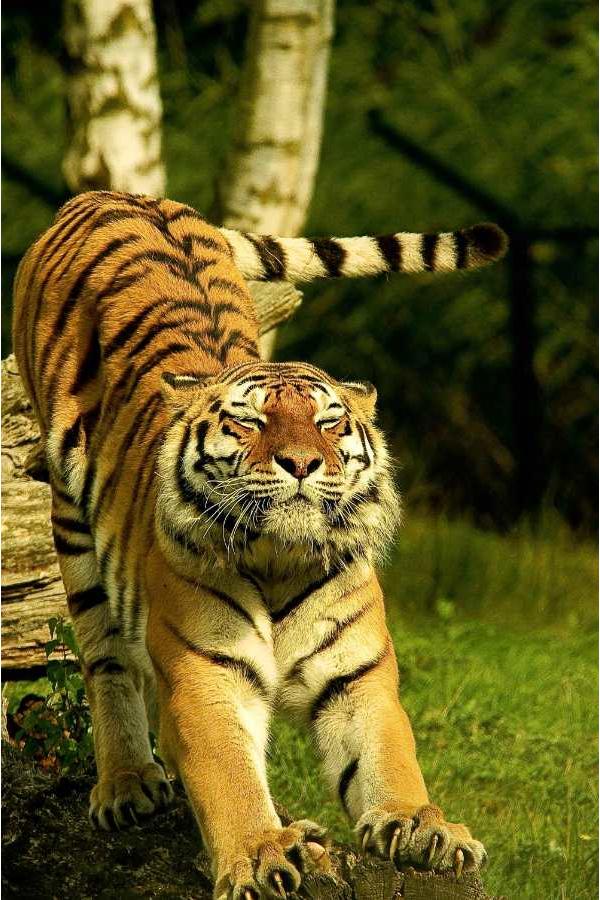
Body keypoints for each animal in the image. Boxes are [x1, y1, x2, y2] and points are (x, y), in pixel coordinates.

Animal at [11, 192, 504, 900]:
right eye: (250, 421)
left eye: (328, 422)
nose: (301, 462)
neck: (279, 560)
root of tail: (114, 195)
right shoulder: (205, 676)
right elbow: (228, 777)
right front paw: (262, 851)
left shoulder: (358, 677)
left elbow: (389, 756)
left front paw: (425, 826)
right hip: (72, 525)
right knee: (105, 660)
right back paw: (127, 784)